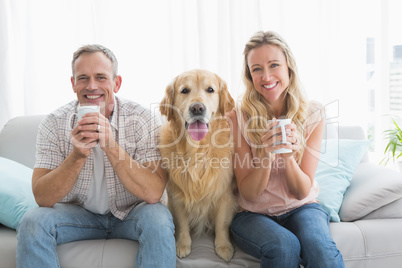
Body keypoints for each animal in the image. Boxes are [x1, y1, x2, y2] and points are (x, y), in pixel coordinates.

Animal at [159, 69, 237, 262]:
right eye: (184, 90)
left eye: (210, 89)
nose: (197, 108)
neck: (197, 150)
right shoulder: (176, 193)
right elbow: (182, 222)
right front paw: (182, 244)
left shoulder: (224, 192)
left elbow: (221, 222)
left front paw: (223, 246)